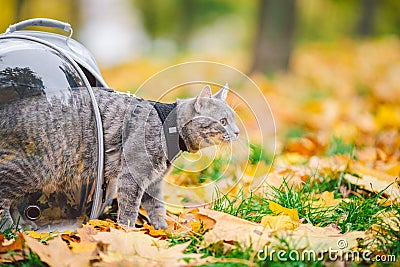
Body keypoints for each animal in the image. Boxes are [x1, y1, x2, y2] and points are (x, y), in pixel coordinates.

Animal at [0, 85, 238, 230]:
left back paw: (22, 226)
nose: (237, 132)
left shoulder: (154, 181)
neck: (167, 128)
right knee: (4, 195)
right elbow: (130, 207)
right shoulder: (134, 174)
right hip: (33, 169)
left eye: (233, 120)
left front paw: (162, 230)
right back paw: (9, 230)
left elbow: (157, 208)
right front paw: (127, 230)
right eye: (223, 121)